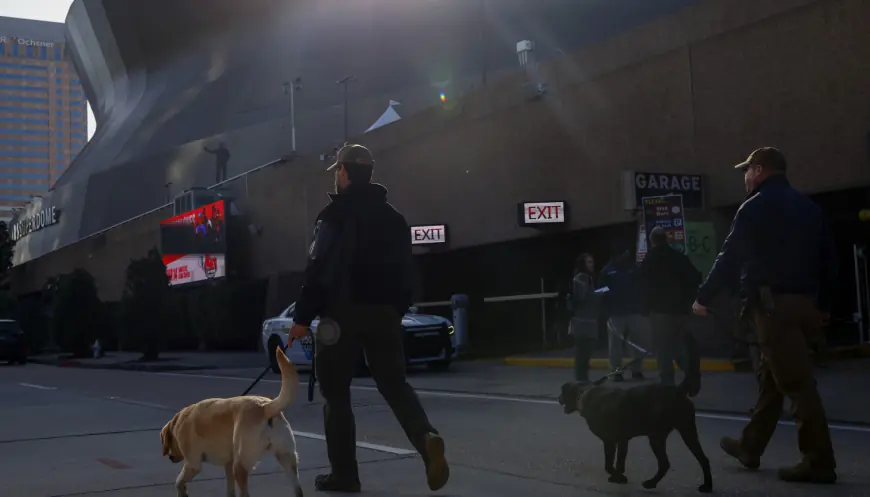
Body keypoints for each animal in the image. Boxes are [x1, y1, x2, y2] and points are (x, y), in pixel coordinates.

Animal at [162, 346, 304, 496]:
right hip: (287, 458)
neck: (178, 423)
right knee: (298, 489)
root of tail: (265, 407)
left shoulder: (193, 464)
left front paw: (183, 492)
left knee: (245, 492)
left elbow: (178, 481)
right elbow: (230, 488)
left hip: (240, 465)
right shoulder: (228, 464)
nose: (170, 458)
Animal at [564, 332, 712, 490]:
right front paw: (620, 477)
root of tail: (678, 391)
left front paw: (617, 477)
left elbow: (609, 465)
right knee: (679, 462)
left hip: (675, 433)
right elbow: (619, 462)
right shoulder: (622, 440)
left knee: (688, 461)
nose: (559, 398)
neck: (583, 394)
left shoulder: (610, 441)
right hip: (670, 434)